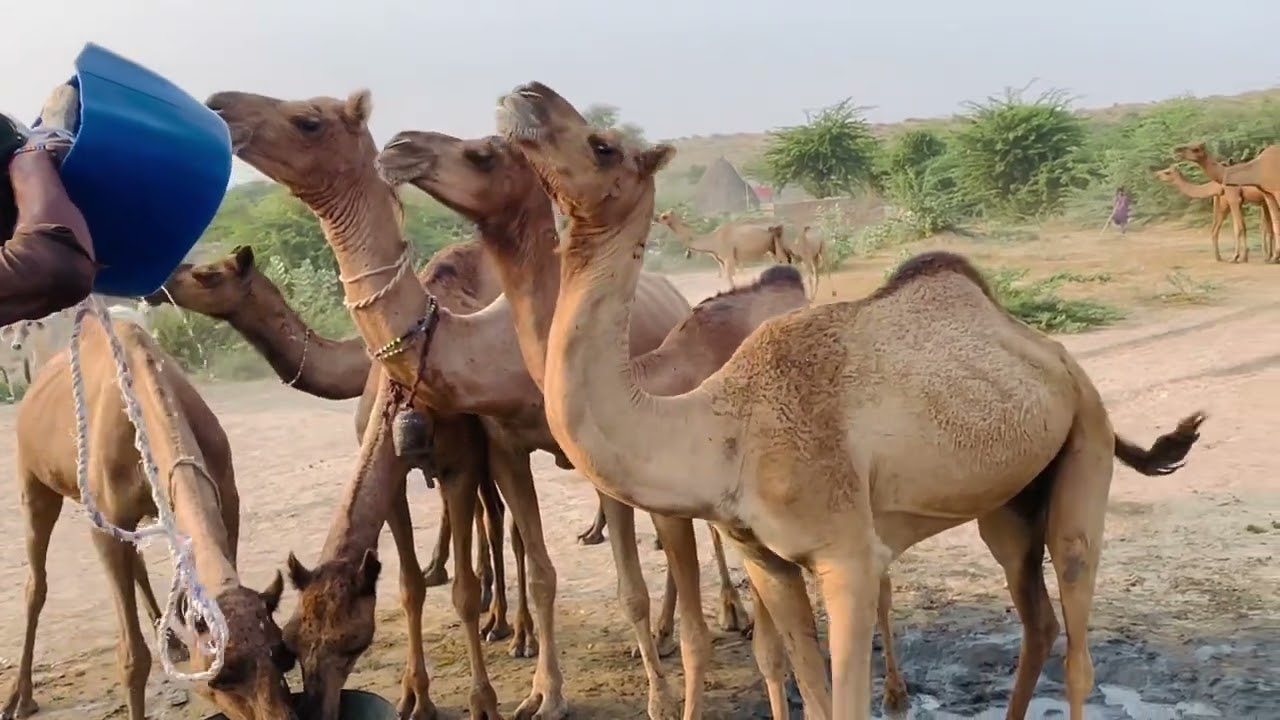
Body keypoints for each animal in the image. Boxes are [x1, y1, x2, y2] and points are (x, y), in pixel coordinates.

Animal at [4, 317, 295, 720]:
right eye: (220, 678)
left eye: (284, 655)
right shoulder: (105, 523)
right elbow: (133, 658)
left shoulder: (226, 498)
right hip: (33, 478)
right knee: (36, 583)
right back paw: (21, 697)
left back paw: (169, 638)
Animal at [204, 87, 739, 720]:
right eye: (286, 644)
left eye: (308, 120)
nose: (220, 105)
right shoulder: (502, 449)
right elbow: (534, 570)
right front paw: (540, 694)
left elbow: (626, 586)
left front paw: (655, 692)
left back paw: (708, 619)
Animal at [655, 210, 789, 289]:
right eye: (662, 214)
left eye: (665, 216)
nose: (655, 219)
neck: (713, 240)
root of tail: (781, 223)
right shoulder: (723, 261)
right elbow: (728, 277)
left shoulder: (728, 258)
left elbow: (729, 278)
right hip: (772, 248)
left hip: (777, 245)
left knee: (785, 261)